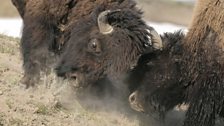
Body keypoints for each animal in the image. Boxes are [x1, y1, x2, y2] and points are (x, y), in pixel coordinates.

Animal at [11, 0, 161, 88]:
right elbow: (38, 51)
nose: (75, 79)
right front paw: (30, 82)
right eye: (94, 45)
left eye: (118, 68)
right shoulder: (41, 17)